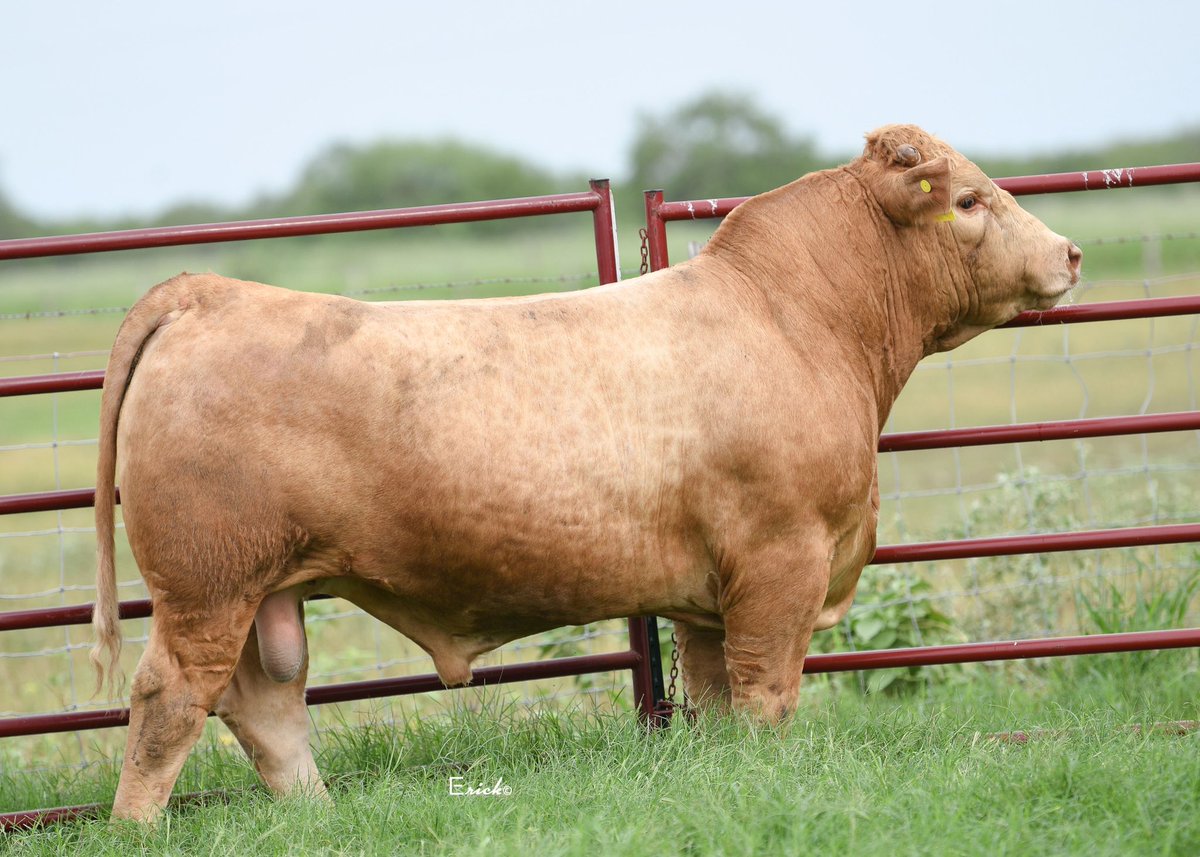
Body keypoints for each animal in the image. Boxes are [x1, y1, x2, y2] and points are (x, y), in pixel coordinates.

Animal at [90, 125, 1081, 821]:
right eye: (968, 199)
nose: (1069, 252)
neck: (803, 321)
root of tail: (209, 292)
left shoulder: (709, 597)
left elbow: (716, 700)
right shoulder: (781, 562)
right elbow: (767, 695)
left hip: (265, 590)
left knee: (265, 707)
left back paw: (320, 818)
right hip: (207, 582)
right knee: (169, 701)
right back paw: (142, 827)